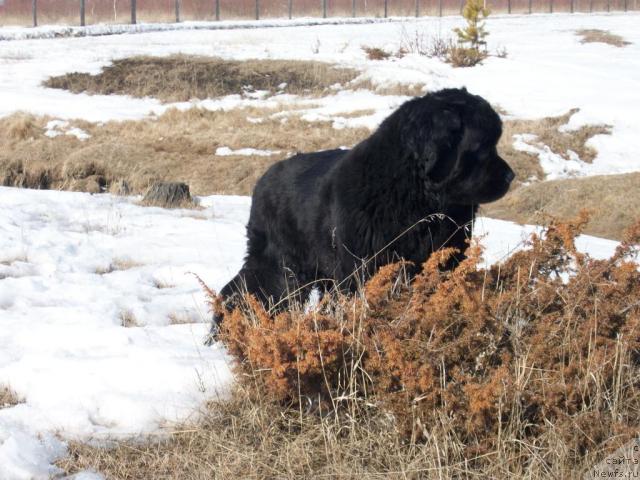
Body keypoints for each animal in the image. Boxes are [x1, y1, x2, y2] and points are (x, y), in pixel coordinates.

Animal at [210, 88, 516, 336]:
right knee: (253, 292)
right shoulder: (364, 267)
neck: (416, 195)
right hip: (283, 268)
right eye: (483, 146)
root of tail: (263, 180)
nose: (510, 176)